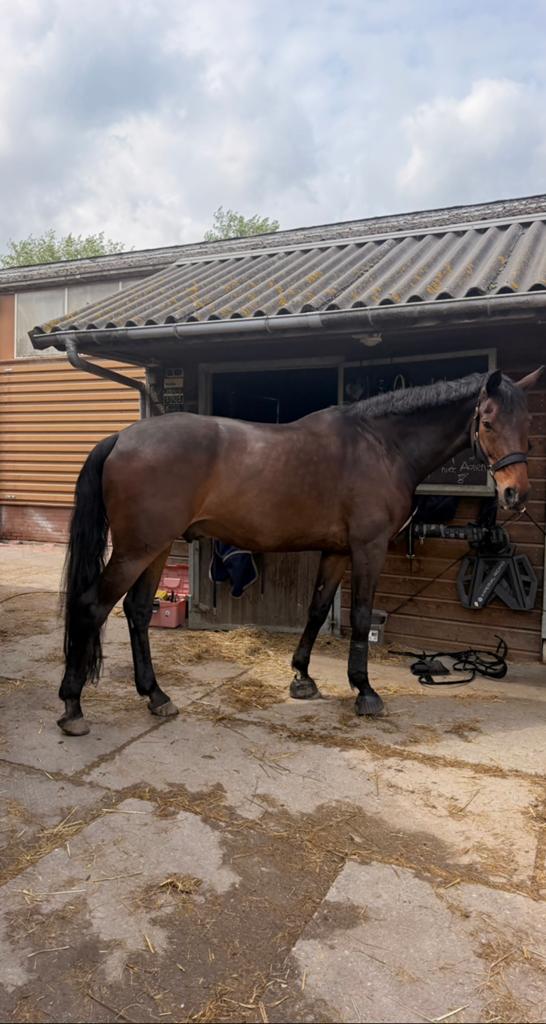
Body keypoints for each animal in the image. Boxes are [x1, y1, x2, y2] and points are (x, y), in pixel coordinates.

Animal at [57, 366, 542, 736]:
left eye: (529, 430)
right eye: (488, 422)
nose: (514, 494)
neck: (381, 445)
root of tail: (121, 437)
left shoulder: (337, 552)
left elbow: (317, 608)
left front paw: (302, 677)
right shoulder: (368, 549)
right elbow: (360, 616)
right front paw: (365, 691)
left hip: (154, 548)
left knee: (138, 612)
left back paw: (156, 696)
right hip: (136, 550)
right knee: (91, 606)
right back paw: (73, 706)